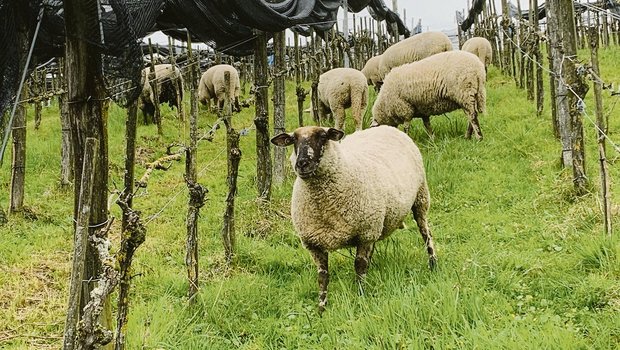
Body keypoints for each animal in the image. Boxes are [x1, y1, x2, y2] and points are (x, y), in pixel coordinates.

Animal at [270, 125, 436, 312]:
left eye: (323, 136)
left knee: (426, 233)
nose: (302, 164)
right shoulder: (314, 243)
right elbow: (322, 276)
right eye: (293, 140)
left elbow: (359, 267)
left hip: (420, 198)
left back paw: (433, 264)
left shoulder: (365, 234)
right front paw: (321, 308)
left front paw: (360, 297)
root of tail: (387, 127)